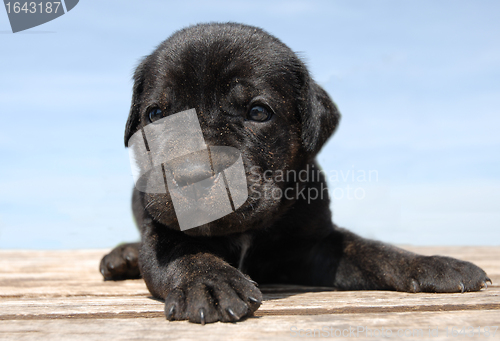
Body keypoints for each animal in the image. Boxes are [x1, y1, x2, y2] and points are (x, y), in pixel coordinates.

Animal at [99, 23, 490, 324]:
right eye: (155, 115)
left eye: (258, 112)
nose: (192, 174)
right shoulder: (162, 231)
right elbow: (183, 251)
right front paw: (209, 283)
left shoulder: (316, 246)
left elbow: (371, 250)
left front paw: (431, 264)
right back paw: (124, 256)